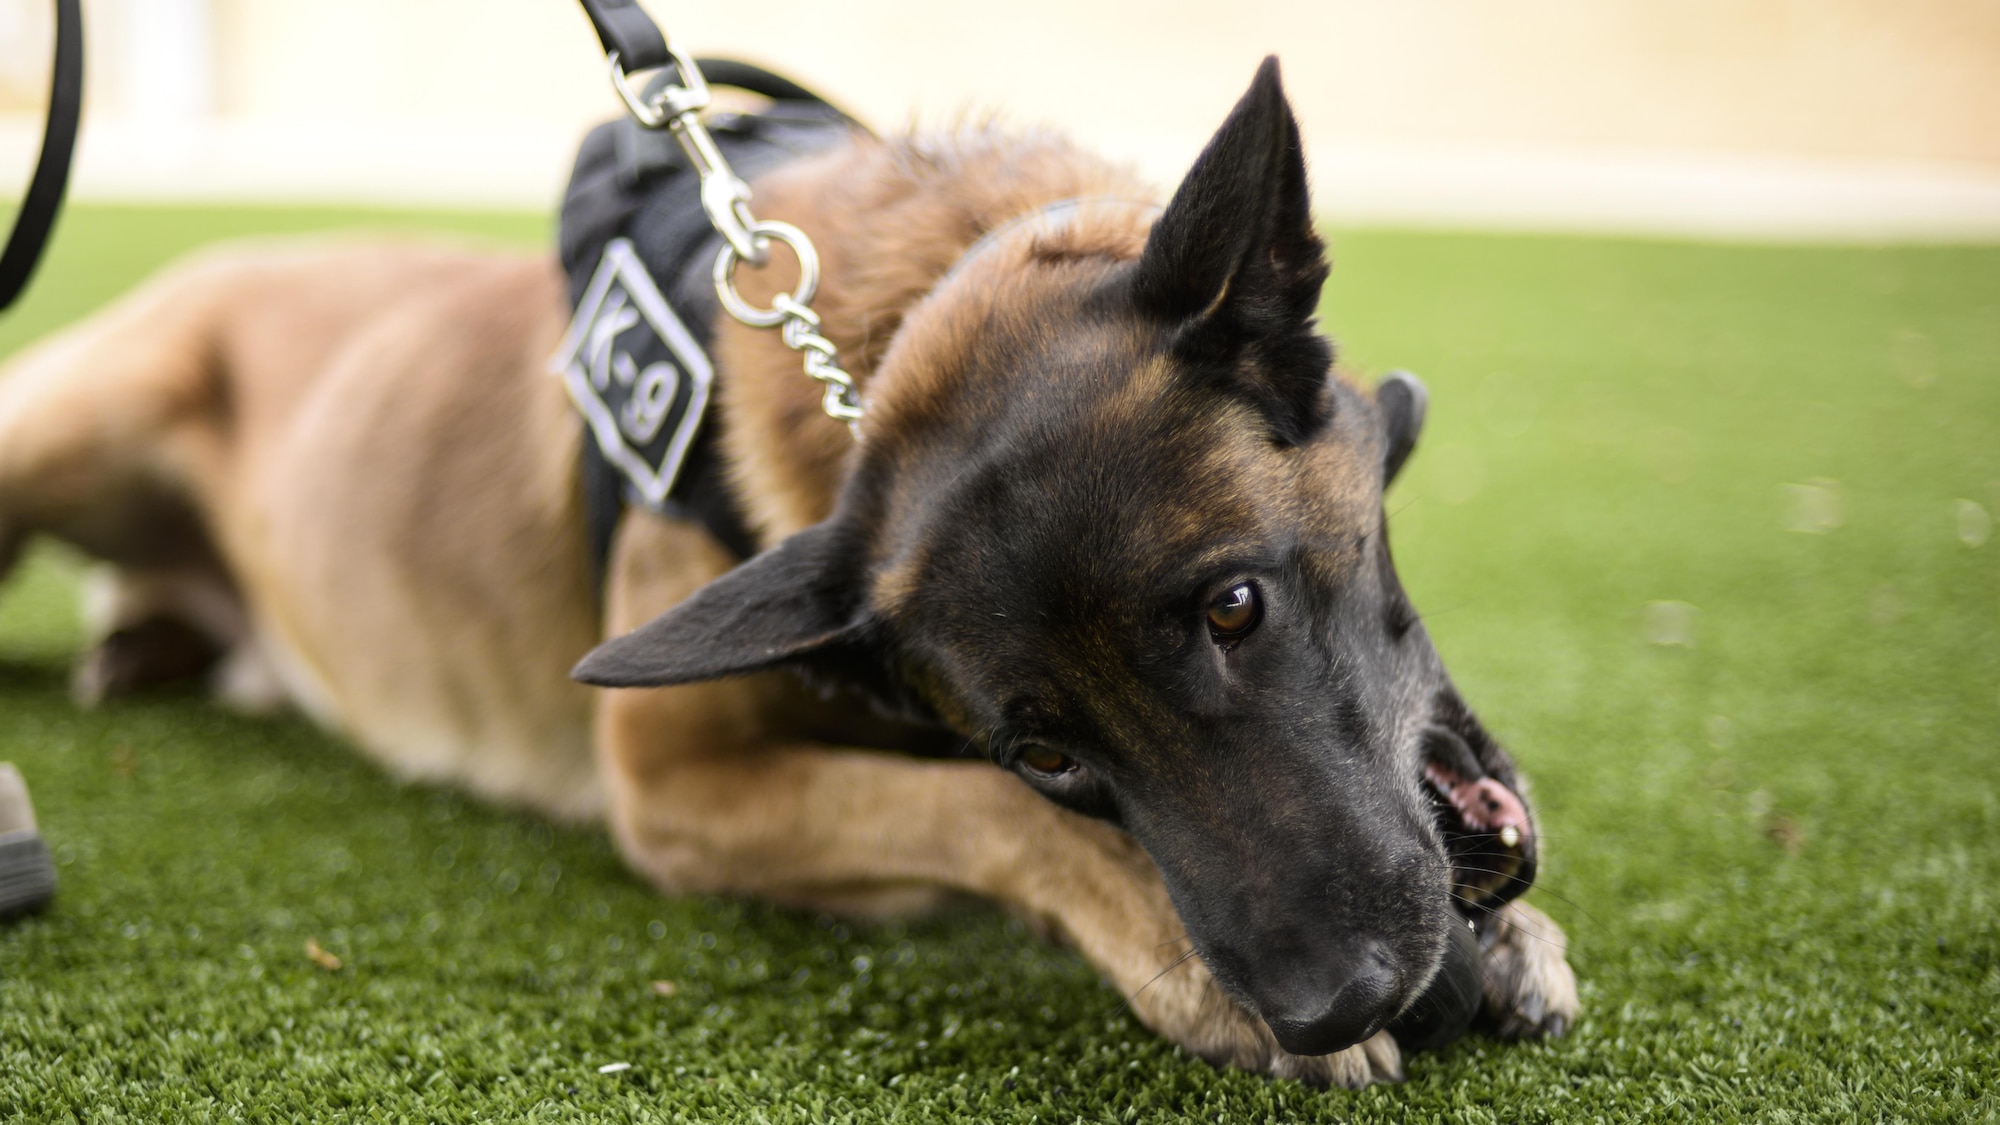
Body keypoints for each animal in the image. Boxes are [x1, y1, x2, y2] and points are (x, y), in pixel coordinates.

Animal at [0, 57, 1576, 1080]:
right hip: (68, 419)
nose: (1337, 997)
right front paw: (1180, 956)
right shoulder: (675, 790)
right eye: (1044, 753)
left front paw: (1504, 939)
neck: (889, 321)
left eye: (1233, 606)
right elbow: (979, 819)